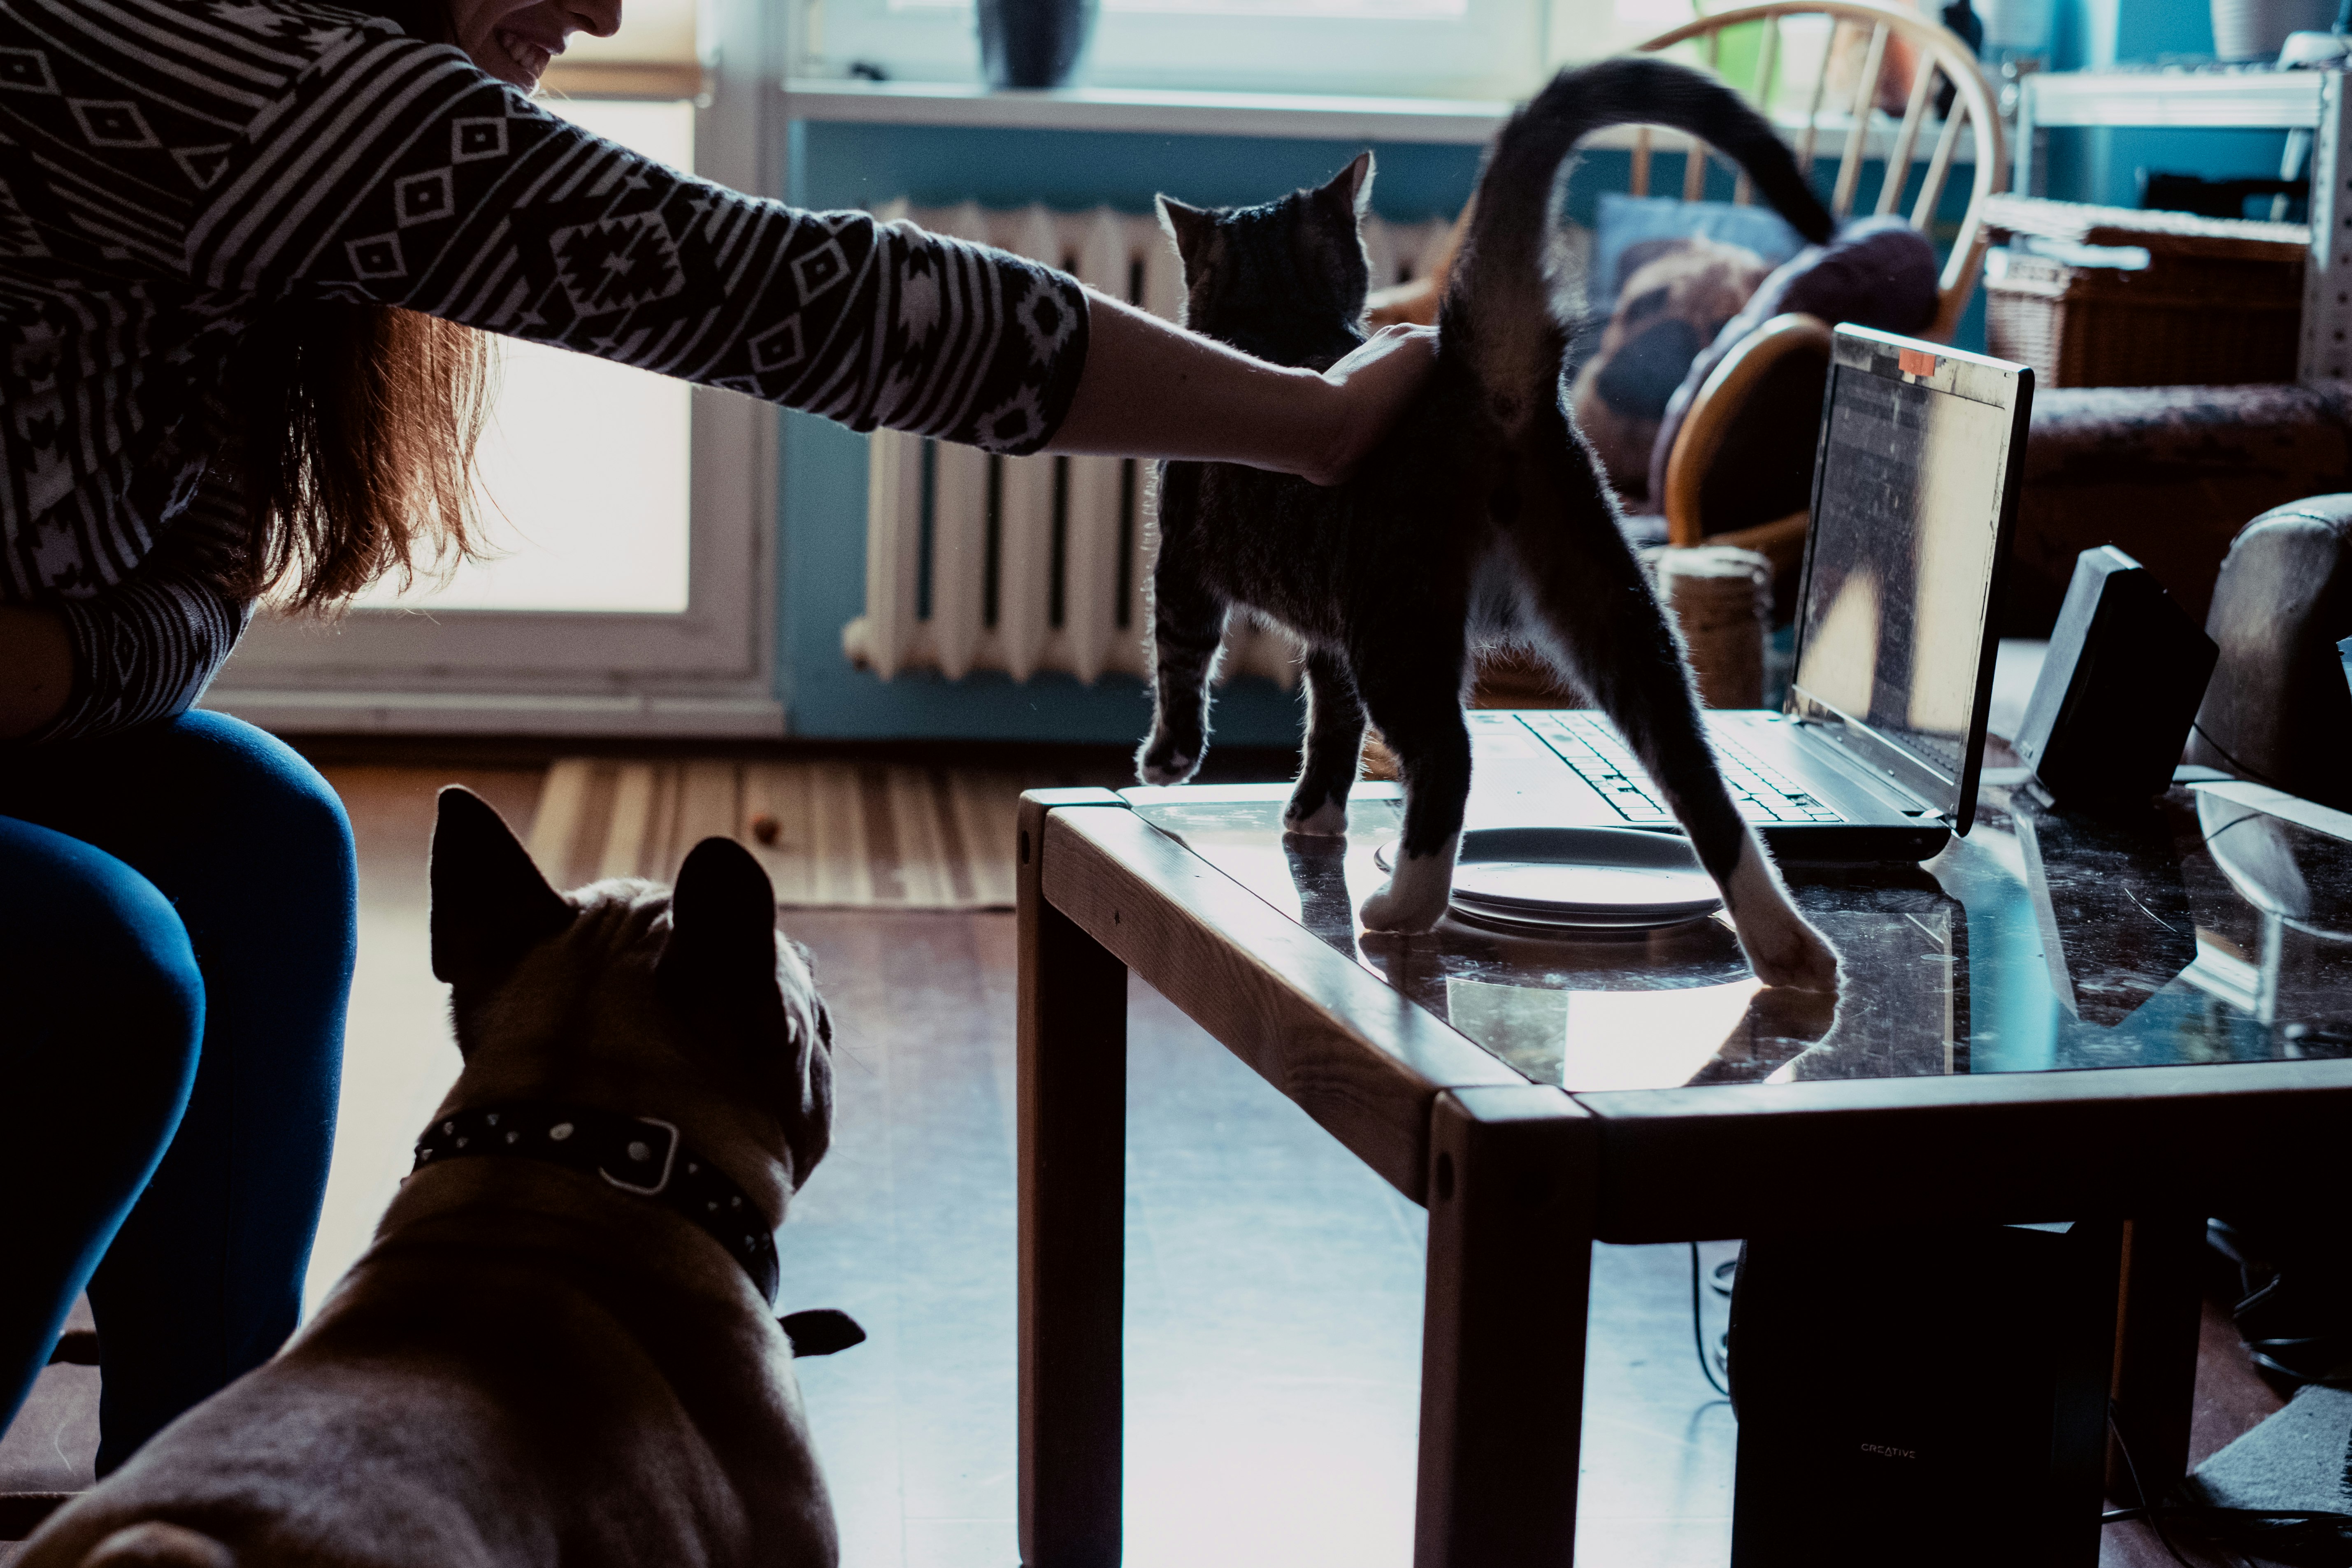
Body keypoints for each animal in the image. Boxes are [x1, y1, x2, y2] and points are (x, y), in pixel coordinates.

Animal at [1138, 64, 1834, 992]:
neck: (1278, 323)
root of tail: (1489, 375)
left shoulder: (1186, 564)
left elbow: (1183, 662)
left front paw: (1170, 761)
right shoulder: (1327, 632)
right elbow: (1331, 724)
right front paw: (1314, 816)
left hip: (1398, 618)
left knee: (1449, 759)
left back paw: (1402, 906)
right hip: (1613, 606)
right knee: (1697, 775)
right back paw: (1789, 947)